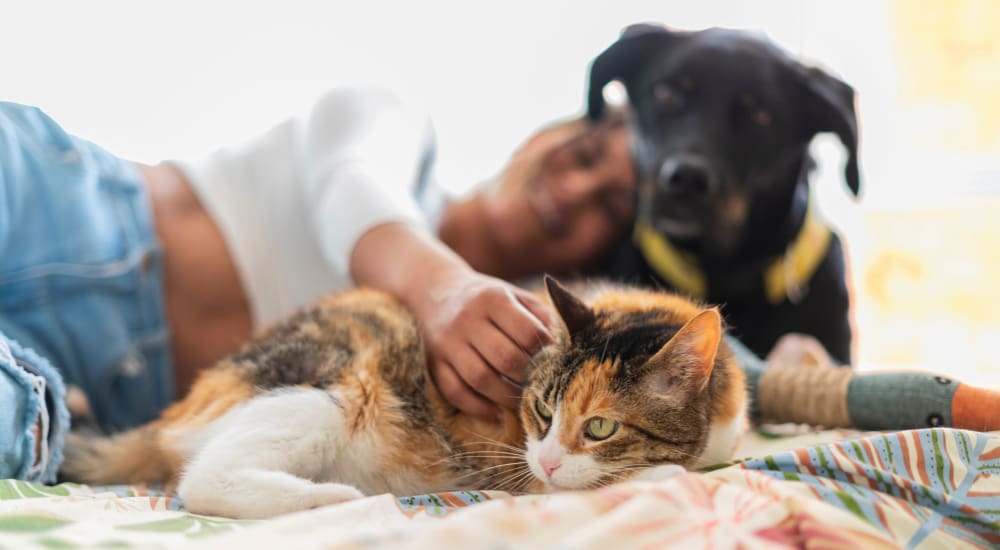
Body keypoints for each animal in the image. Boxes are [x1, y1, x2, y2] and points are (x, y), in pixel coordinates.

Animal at [58, 278, 748, 520]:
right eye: (543, 412)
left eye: (601, 426)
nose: (550, 457)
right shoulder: (520, 467)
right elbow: (596, 482)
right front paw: (662, 474)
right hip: (334, 390)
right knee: (202, 480)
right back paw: (333, 498)